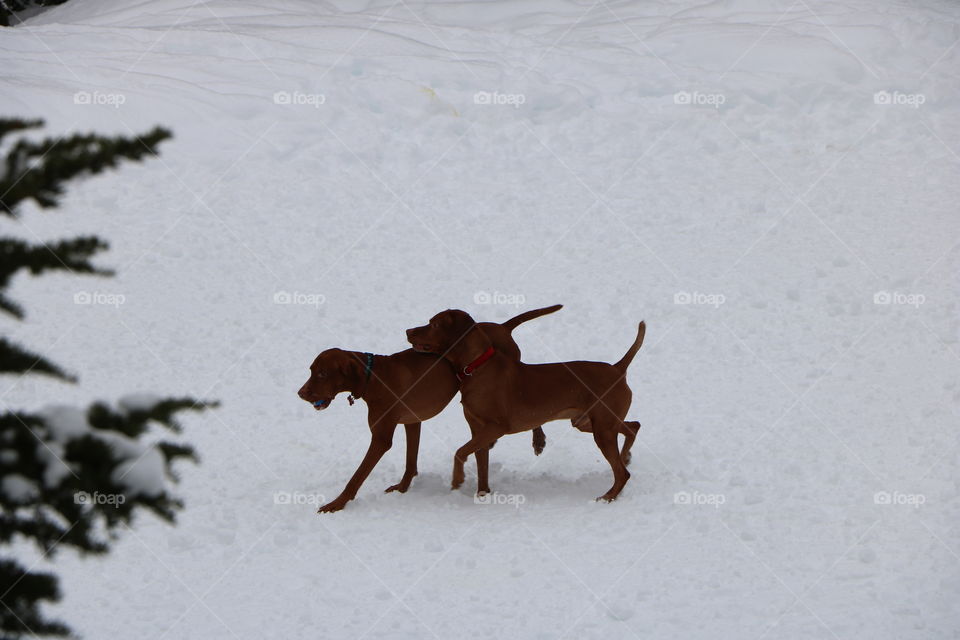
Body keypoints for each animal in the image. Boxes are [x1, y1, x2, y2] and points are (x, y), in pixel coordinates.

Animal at [404, 312, 644, 502]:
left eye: (434, 324)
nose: (408, 330)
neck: (477, 366)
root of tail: (617, 369)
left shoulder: (496, 427)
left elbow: (459, 452)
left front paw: (457, 480)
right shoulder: (478, 431)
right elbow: (481, 465)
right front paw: (483, 494)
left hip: (601, 429)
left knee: (623, 473)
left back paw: (608, 497)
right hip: (590, 423)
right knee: (633, 427)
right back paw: (626, 457)